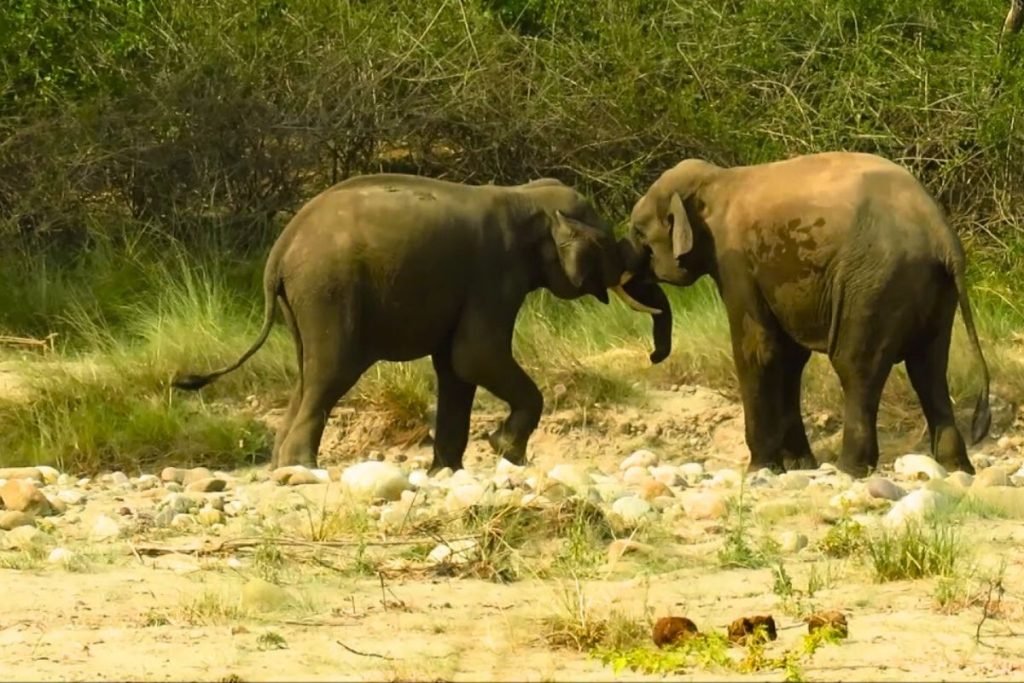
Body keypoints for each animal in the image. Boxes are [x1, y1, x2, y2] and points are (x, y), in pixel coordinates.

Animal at [171, 173, 673, 472]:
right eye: (607, 244)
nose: (654, 356)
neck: (525, 196)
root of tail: (280, 249)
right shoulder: (493, 274)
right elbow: (476, 356)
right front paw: (505, 451)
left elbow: (456, 368)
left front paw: (446, 471)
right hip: (329, 292)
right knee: (331, 373)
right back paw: (302, 469)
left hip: (306, 301)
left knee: (307, 375)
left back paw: (283, 468)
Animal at [625, 151, 991, 478]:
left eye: (639, 233)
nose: (653, 356)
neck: (716, 180)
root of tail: (942, 232)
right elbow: (789, 356)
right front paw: (800, 466)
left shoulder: (735, 259)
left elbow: (757, 350)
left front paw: (760, 469)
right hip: (932, 288)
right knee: (929, 368)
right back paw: (956, 467)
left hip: (875, 284)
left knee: (856, 365)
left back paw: (850, 470)